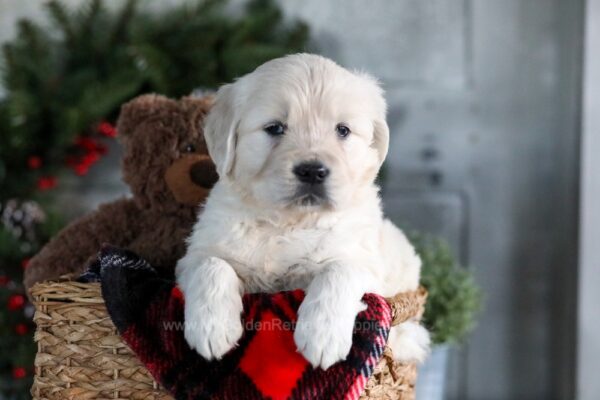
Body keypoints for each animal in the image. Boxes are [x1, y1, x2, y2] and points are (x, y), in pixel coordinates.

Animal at [176, 53, 428, 368]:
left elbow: (339, 270)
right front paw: (212, 329)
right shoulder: (193, 255)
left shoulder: (366, 264)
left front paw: (322, 337)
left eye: (342, 130)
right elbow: (211, 264)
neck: (288, 222)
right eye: (274, 128)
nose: (312, 172)